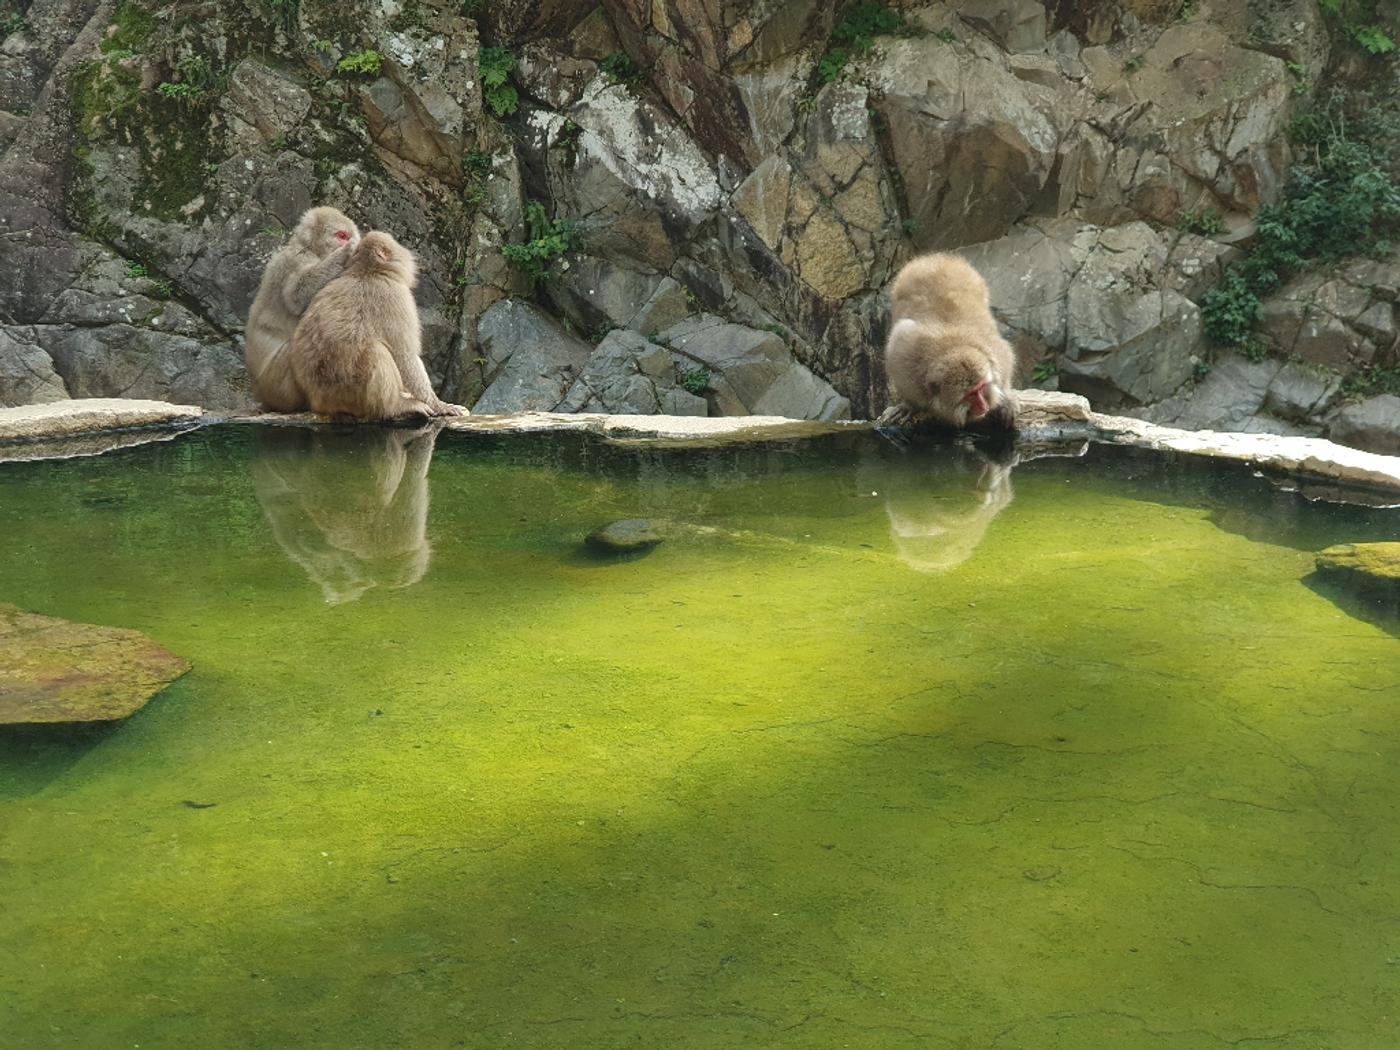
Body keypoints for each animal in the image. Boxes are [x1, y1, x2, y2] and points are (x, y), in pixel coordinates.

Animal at [245, 206, 361, 412]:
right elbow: (297, 296)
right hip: (279, 385)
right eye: (341, 236)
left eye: (348, 235)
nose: (347, 242)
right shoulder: (295, 259)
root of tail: (260, 393)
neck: (311, 249)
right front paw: (345, 253)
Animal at [287, 230, 466, 421]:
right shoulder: (396, 296)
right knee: (376, 350)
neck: (367, 271)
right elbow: (405, 355)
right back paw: (397, 406)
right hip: (348, 391)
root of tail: (318, 402)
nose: (407, 250)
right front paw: (439, 404)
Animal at [877, 253, 1018, 431]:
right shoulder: (904, 358)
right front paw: (909, 405)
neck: (953, 346)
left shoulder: (994, 351)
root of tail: (938, 258)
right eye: (970, 394)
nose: (984, 406)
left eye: (980, 388)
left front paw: (1005, 400)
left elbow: (1005, 356)